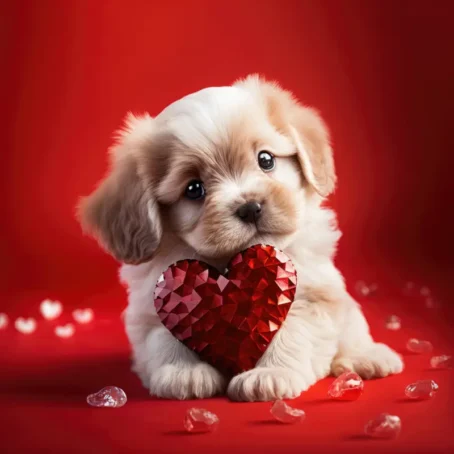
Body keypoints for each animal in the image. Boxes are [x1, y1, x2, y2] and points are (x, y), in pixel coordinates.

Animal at [79, 75, 404, 400]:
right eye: (194, 189)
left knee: (353, 330)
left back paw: (367, 357)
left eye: (266, 160)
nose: (250, 207)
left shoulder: (313, 295)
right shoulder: (153, 302)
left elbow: (292, 331)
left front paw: (270, 374)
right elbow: (165, 337)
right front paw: (184, 372)